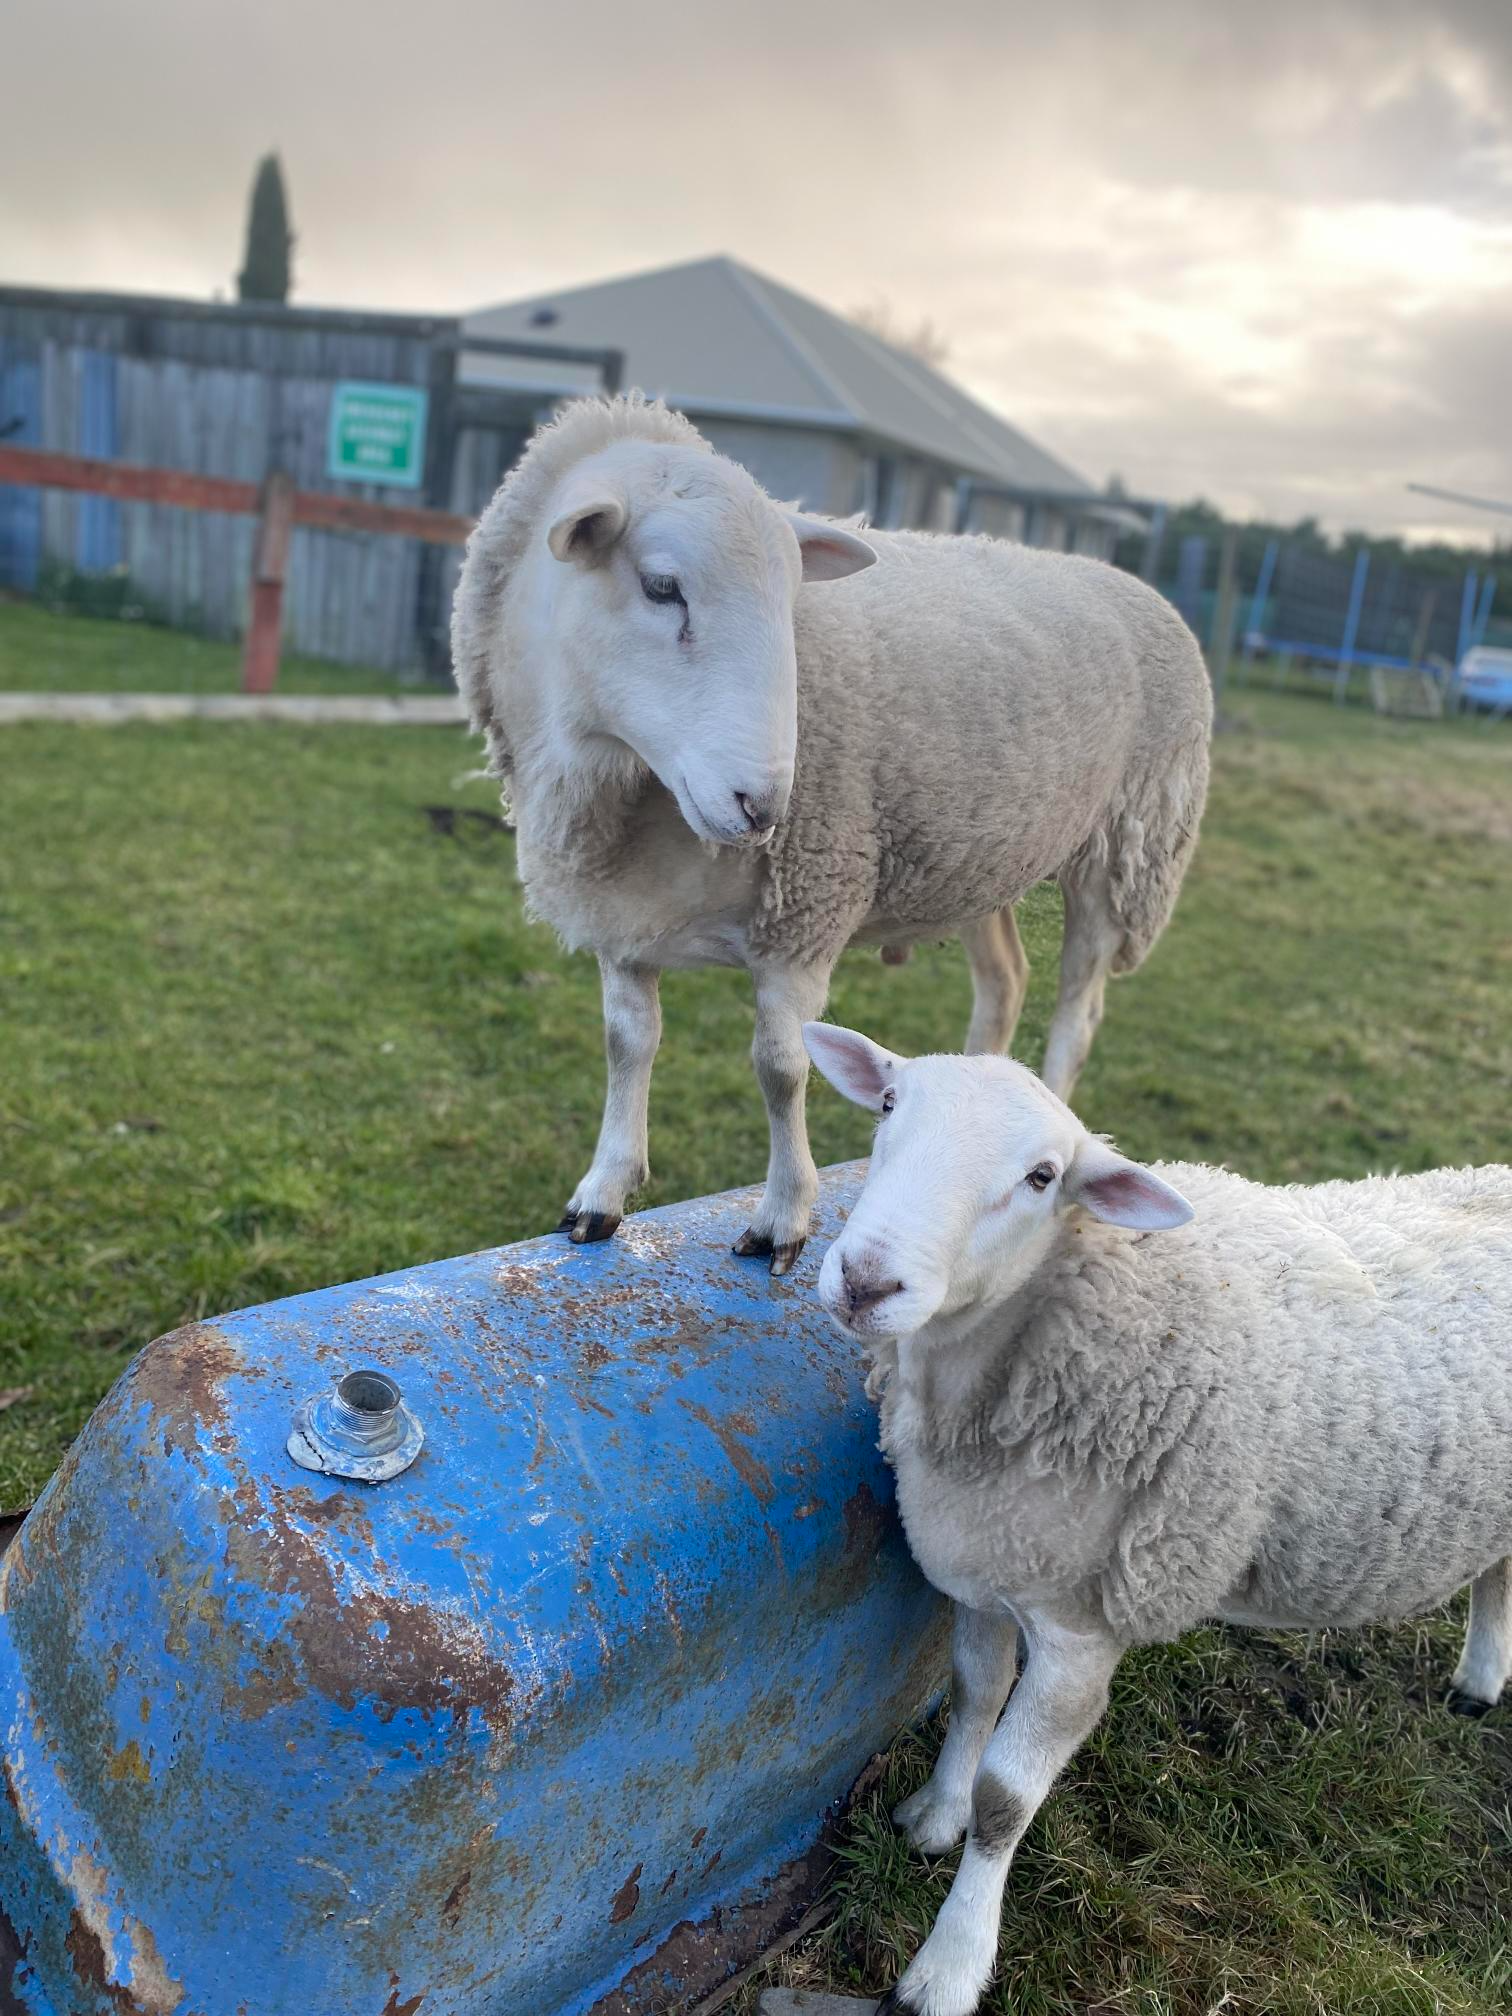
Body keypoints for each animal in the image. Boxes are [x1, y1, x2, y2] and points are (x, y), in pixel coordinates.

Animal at [451, 393, 1211, 1272]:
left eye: (790, 606)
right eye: (662, 586)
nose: (762, 807)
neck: (622, 776)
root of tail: (1130, 580)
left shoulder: (806, 912)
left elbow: (780, 1069)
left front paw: (784, 1215)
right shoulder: (623, 919)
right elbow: (626, 1043)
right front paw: (603, 1192)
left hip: (1123, 850)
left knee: (1077, 1015)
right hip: (982, 852)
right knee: (1005, 981)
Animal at [802, 1020, 1512, 2016]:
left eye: (1043, 1177)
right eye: (889, 1105)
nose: (866, 1282)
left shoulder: (1082, 1629)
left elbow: (1004, 1802)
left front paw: (948, 1965)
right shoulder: (984, 1571)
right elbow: (973, 1697)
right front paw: (934, 1817)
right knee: (1500, 1572)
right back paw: (1479, 1682)